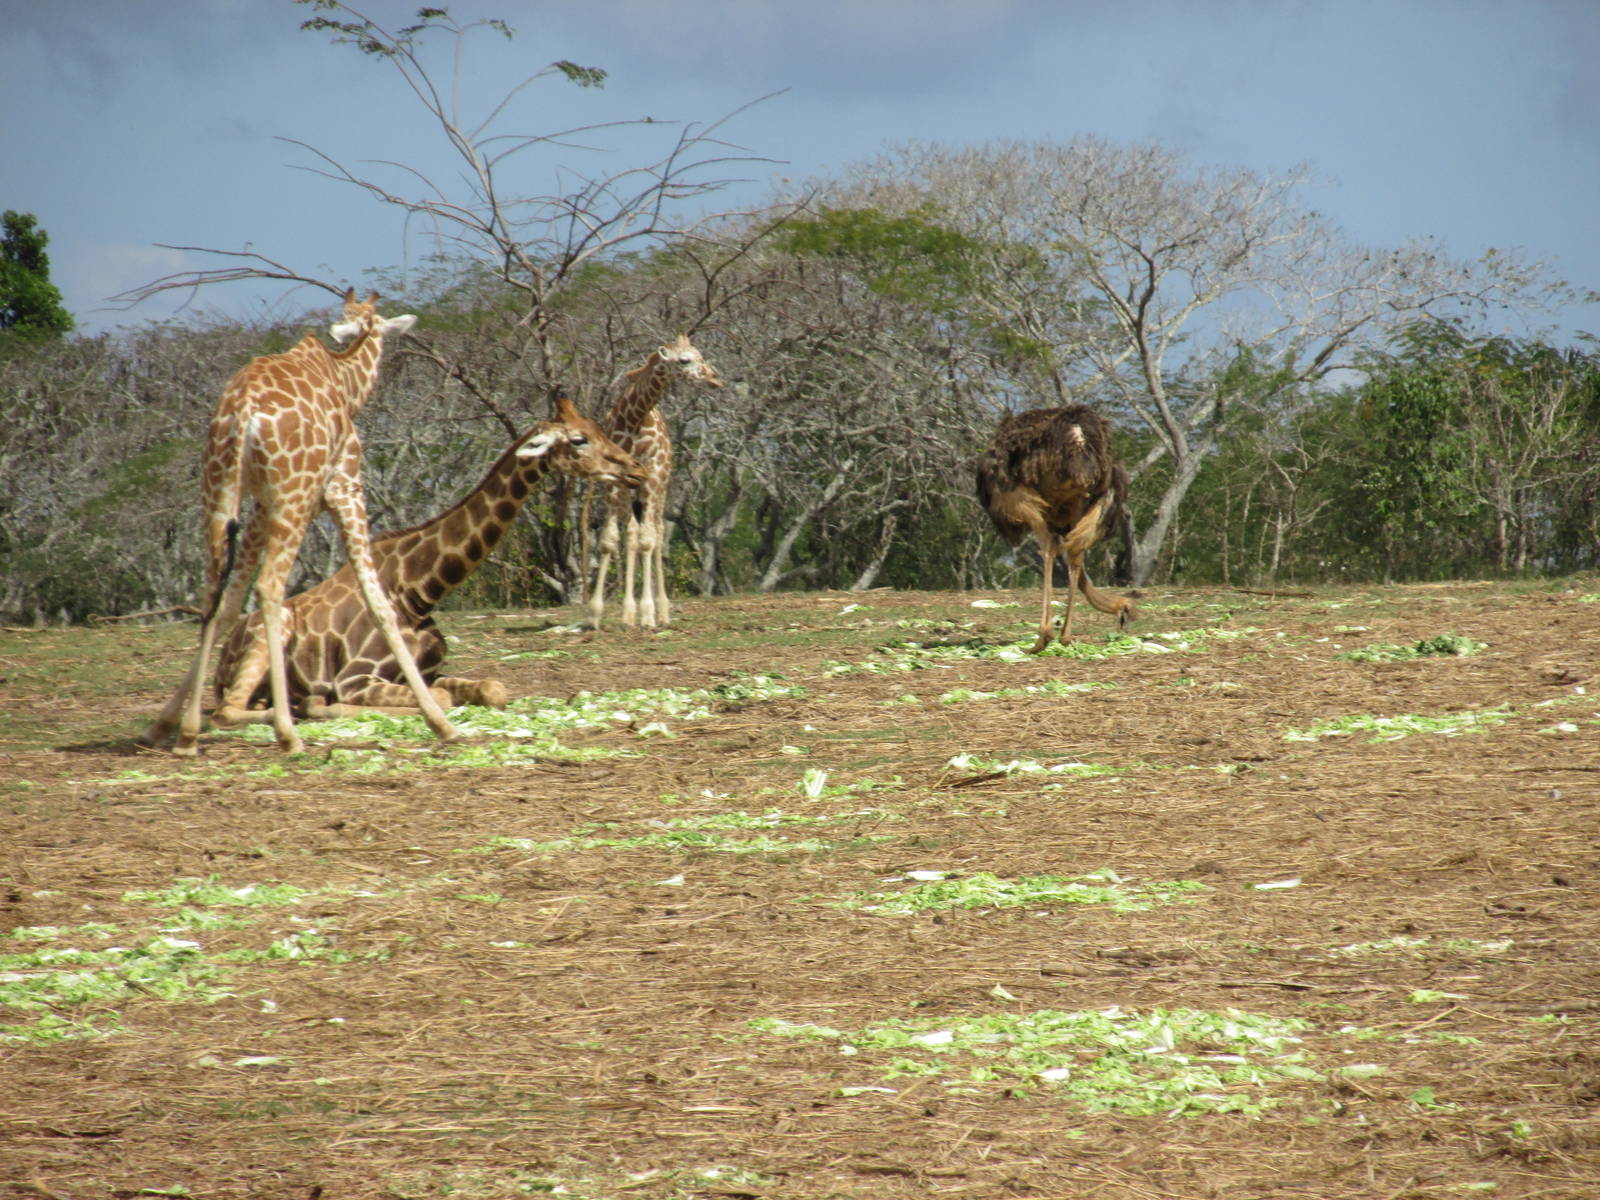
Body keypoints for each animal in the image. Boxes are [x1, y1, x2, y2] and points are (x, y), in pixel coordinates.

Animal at [141, 289, 456, 755]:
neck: (344, 378)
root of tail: (243, 411)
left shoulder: (260, 505)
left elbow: (230, 603)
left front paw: (167, 725)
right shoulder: (344, 488)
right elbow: (378, 600)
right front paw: (440, 722)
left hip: (217, 489)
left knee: (214, 593)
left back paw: (189, 733)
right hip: (295, 494)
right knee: (271, 587)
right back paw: (288, 732)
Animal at [210, 395, 645, 721]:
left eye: (600, 429)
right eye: (579, 440)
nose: (637, 471)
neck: (419, 591)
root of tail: (223, 653)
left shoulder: (426, 673)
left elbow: (493, 688)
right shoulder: (356, 679)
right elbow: (442, 701)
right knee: (228, 711)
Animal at [588, 333, 723, 630]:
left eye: (700, 355)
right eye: (684, 360)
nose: (715, 379)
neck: (633, 419)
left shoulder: (652, 479)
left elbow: (649, 541)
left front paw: (648, 613)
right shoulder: (615, 482)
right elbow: (610, 540)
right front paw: (596, 613)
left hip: (661, 487)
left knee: (657, 534)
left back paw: (661, 611)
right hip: (633, 493)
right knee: (634, 533)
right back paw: (631, 613)